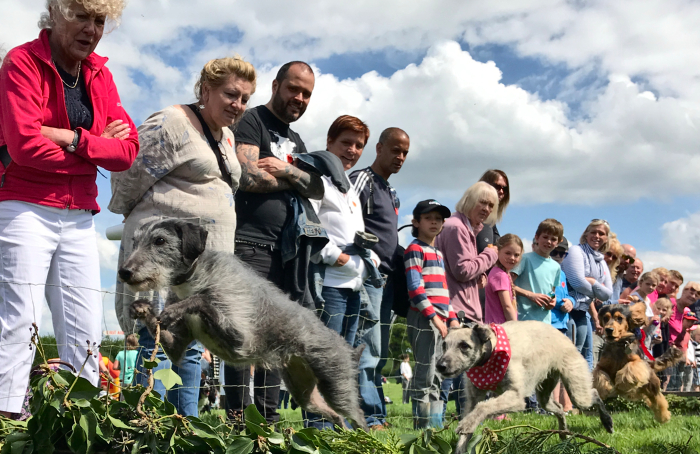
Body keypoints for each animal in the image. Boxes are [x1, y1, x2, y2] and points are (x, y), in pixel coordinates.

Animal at [438, 320, 612, 452]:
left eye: (464, 345)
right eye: (444, 345)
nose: (440, 366)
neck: (491, 353)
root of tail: (566, 337)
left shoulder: (516, 398)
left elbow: (484, 406)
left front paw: (466, 424)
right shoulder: (473, 399)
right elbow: (467, 427)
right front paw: (462, 443)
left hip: (577, 391)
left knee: (594, 393)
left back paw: (607, 421)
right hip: (545, 396)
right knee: (560, 408)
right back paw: (563, 433)